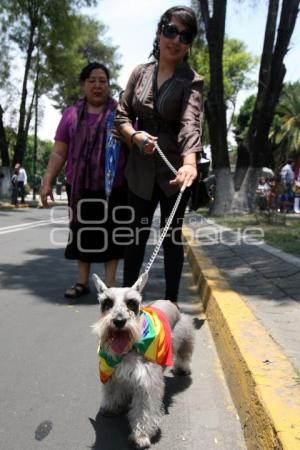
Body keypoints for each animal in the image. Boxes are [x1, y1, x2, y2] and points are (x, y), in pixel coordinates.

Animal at [91, 272, 195, 448]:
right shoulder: (111, 372)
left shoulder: (146, 384)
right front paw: (112, 407)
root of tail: (168, 301)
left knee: (184, 354)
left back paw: (183, 368)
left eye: (132, 303)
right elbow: (112, 391)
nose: (119, 321)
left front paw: (141, 435)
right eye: (107, 302)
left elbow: (144, 411)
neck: (127, 349)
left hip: (185, 334)